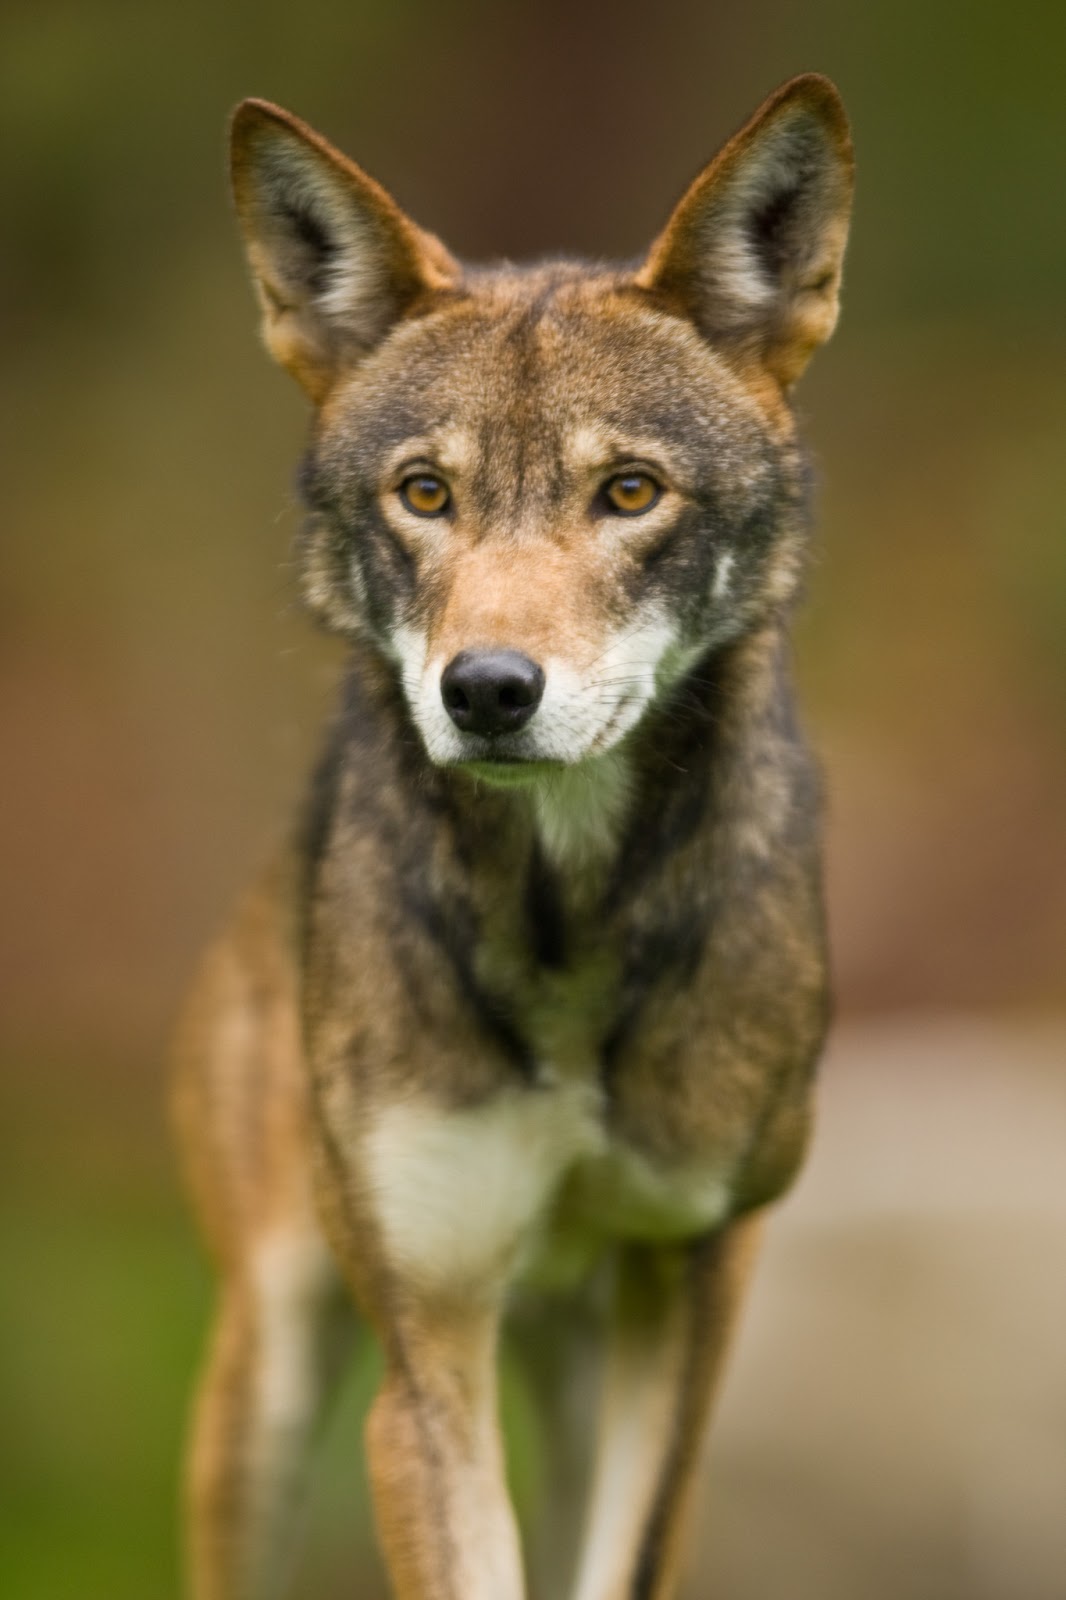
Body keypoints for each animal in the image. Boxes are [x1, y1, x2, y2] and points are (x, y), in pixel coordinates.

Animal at [173, 73, 854, 1600]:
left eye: (630, 492)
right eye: (424, 493)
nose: (484, 689)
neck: (568, 924)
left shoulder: (693, 1285)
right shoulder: (425, 1352)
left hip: (583, 1366)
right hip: (270, 1376)